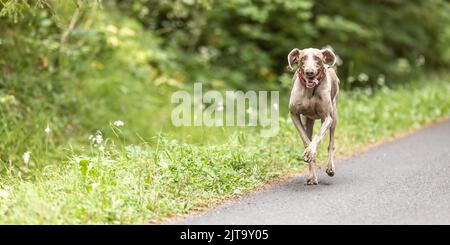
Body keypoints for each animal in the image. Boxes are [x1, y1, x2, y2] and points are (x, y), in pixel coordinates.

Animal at [286, 47, 340, 185]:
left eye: (317, 58)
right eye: (303, 58)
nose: (309, 72)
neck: (310, 90)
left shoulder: (327, 117)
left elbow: (318, 135)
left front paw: (310, 152)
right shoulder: (294, 114)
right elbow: (306, 140)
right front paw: (309, 153)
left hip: (334, 116)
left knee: (331, 143)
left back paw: (330, 168)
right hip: (308, 120)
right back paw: (312, 177)